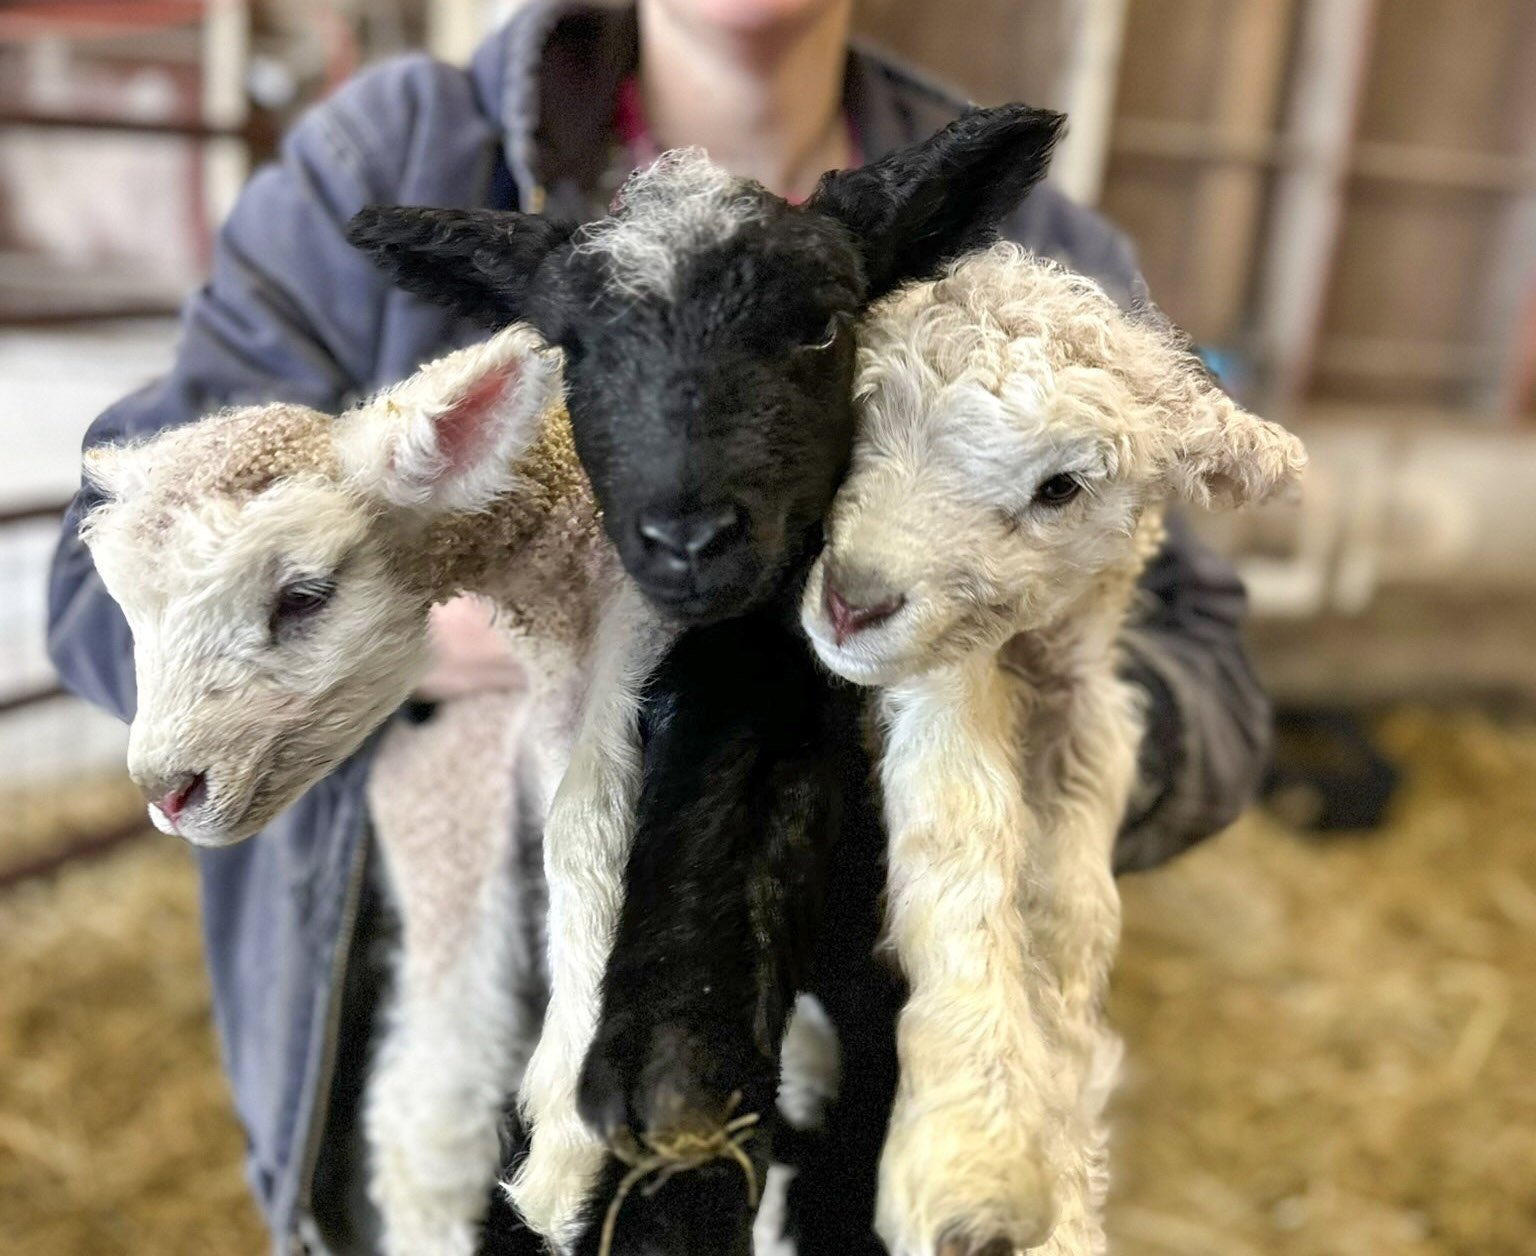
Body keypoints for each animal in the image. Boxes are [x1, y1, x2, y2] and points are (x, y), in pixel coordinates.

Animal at [798, 244, 1308, 1256]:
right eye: (862, 413)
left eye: (1060, 488)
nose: (853, 600)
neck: (1026, 675)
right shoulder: (948, 689)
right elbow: (961, 837)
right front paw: (979, 1150)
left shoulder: (1089, 713)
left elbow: (1075, 920)